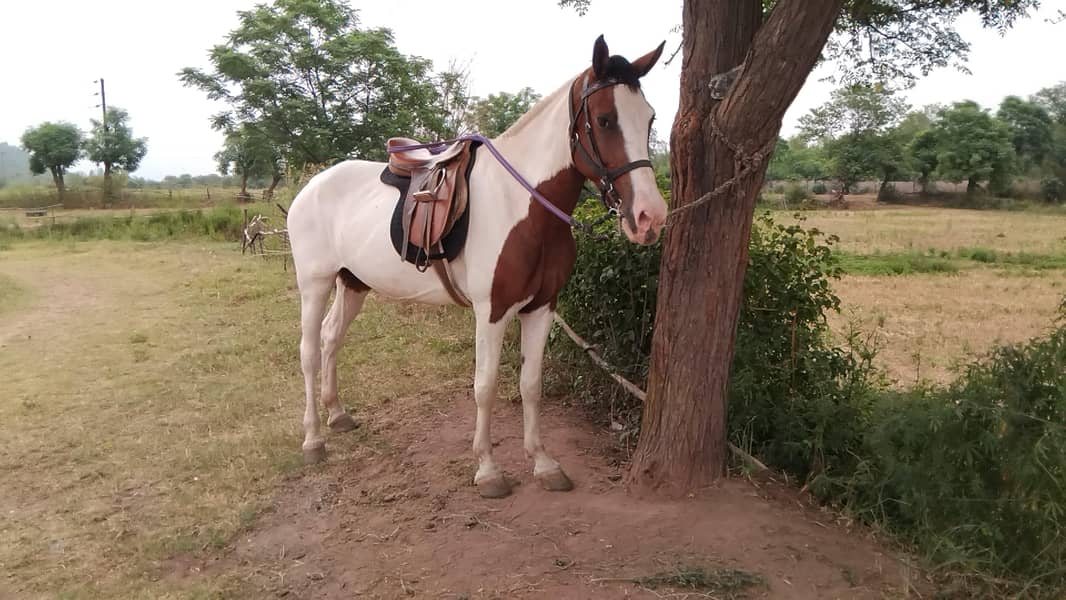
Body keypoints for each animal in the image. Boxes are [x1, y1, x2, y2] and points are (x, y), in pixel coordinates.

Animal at [286, 35, 668, 499]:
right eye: (605, 119)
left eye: (649, 118)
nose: (650, 217)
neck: (523, 206)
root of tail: (312, 185)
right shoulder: (492, 311)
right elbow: (485, 388)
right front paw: (488, 470)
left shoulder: (542, 307)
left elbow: (531, 385)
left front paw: (543, 463)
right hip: (315, 282)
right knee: (308, 350)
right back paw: (313, 440)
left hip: (353, 283)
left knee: (330, 338)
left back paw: (338, 415)